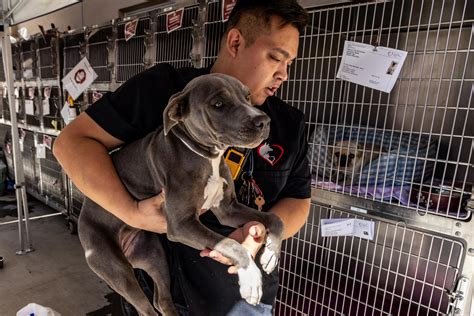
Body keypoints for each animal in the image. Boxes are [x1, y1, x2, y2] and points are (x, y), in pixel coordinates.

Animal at [78, 74, 284, 316]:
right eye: (218, 104)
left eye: (248, 97)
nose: (264, 121)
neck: (207, 157)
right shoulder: (181, 225)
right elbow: (230, 244)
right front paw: (251, 278)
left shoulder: (228, 210)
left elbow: (274, 218)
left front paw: (271, 253)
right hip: (118, 271)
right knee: (146, 307)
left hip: (154, 256)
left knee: (162, 300)